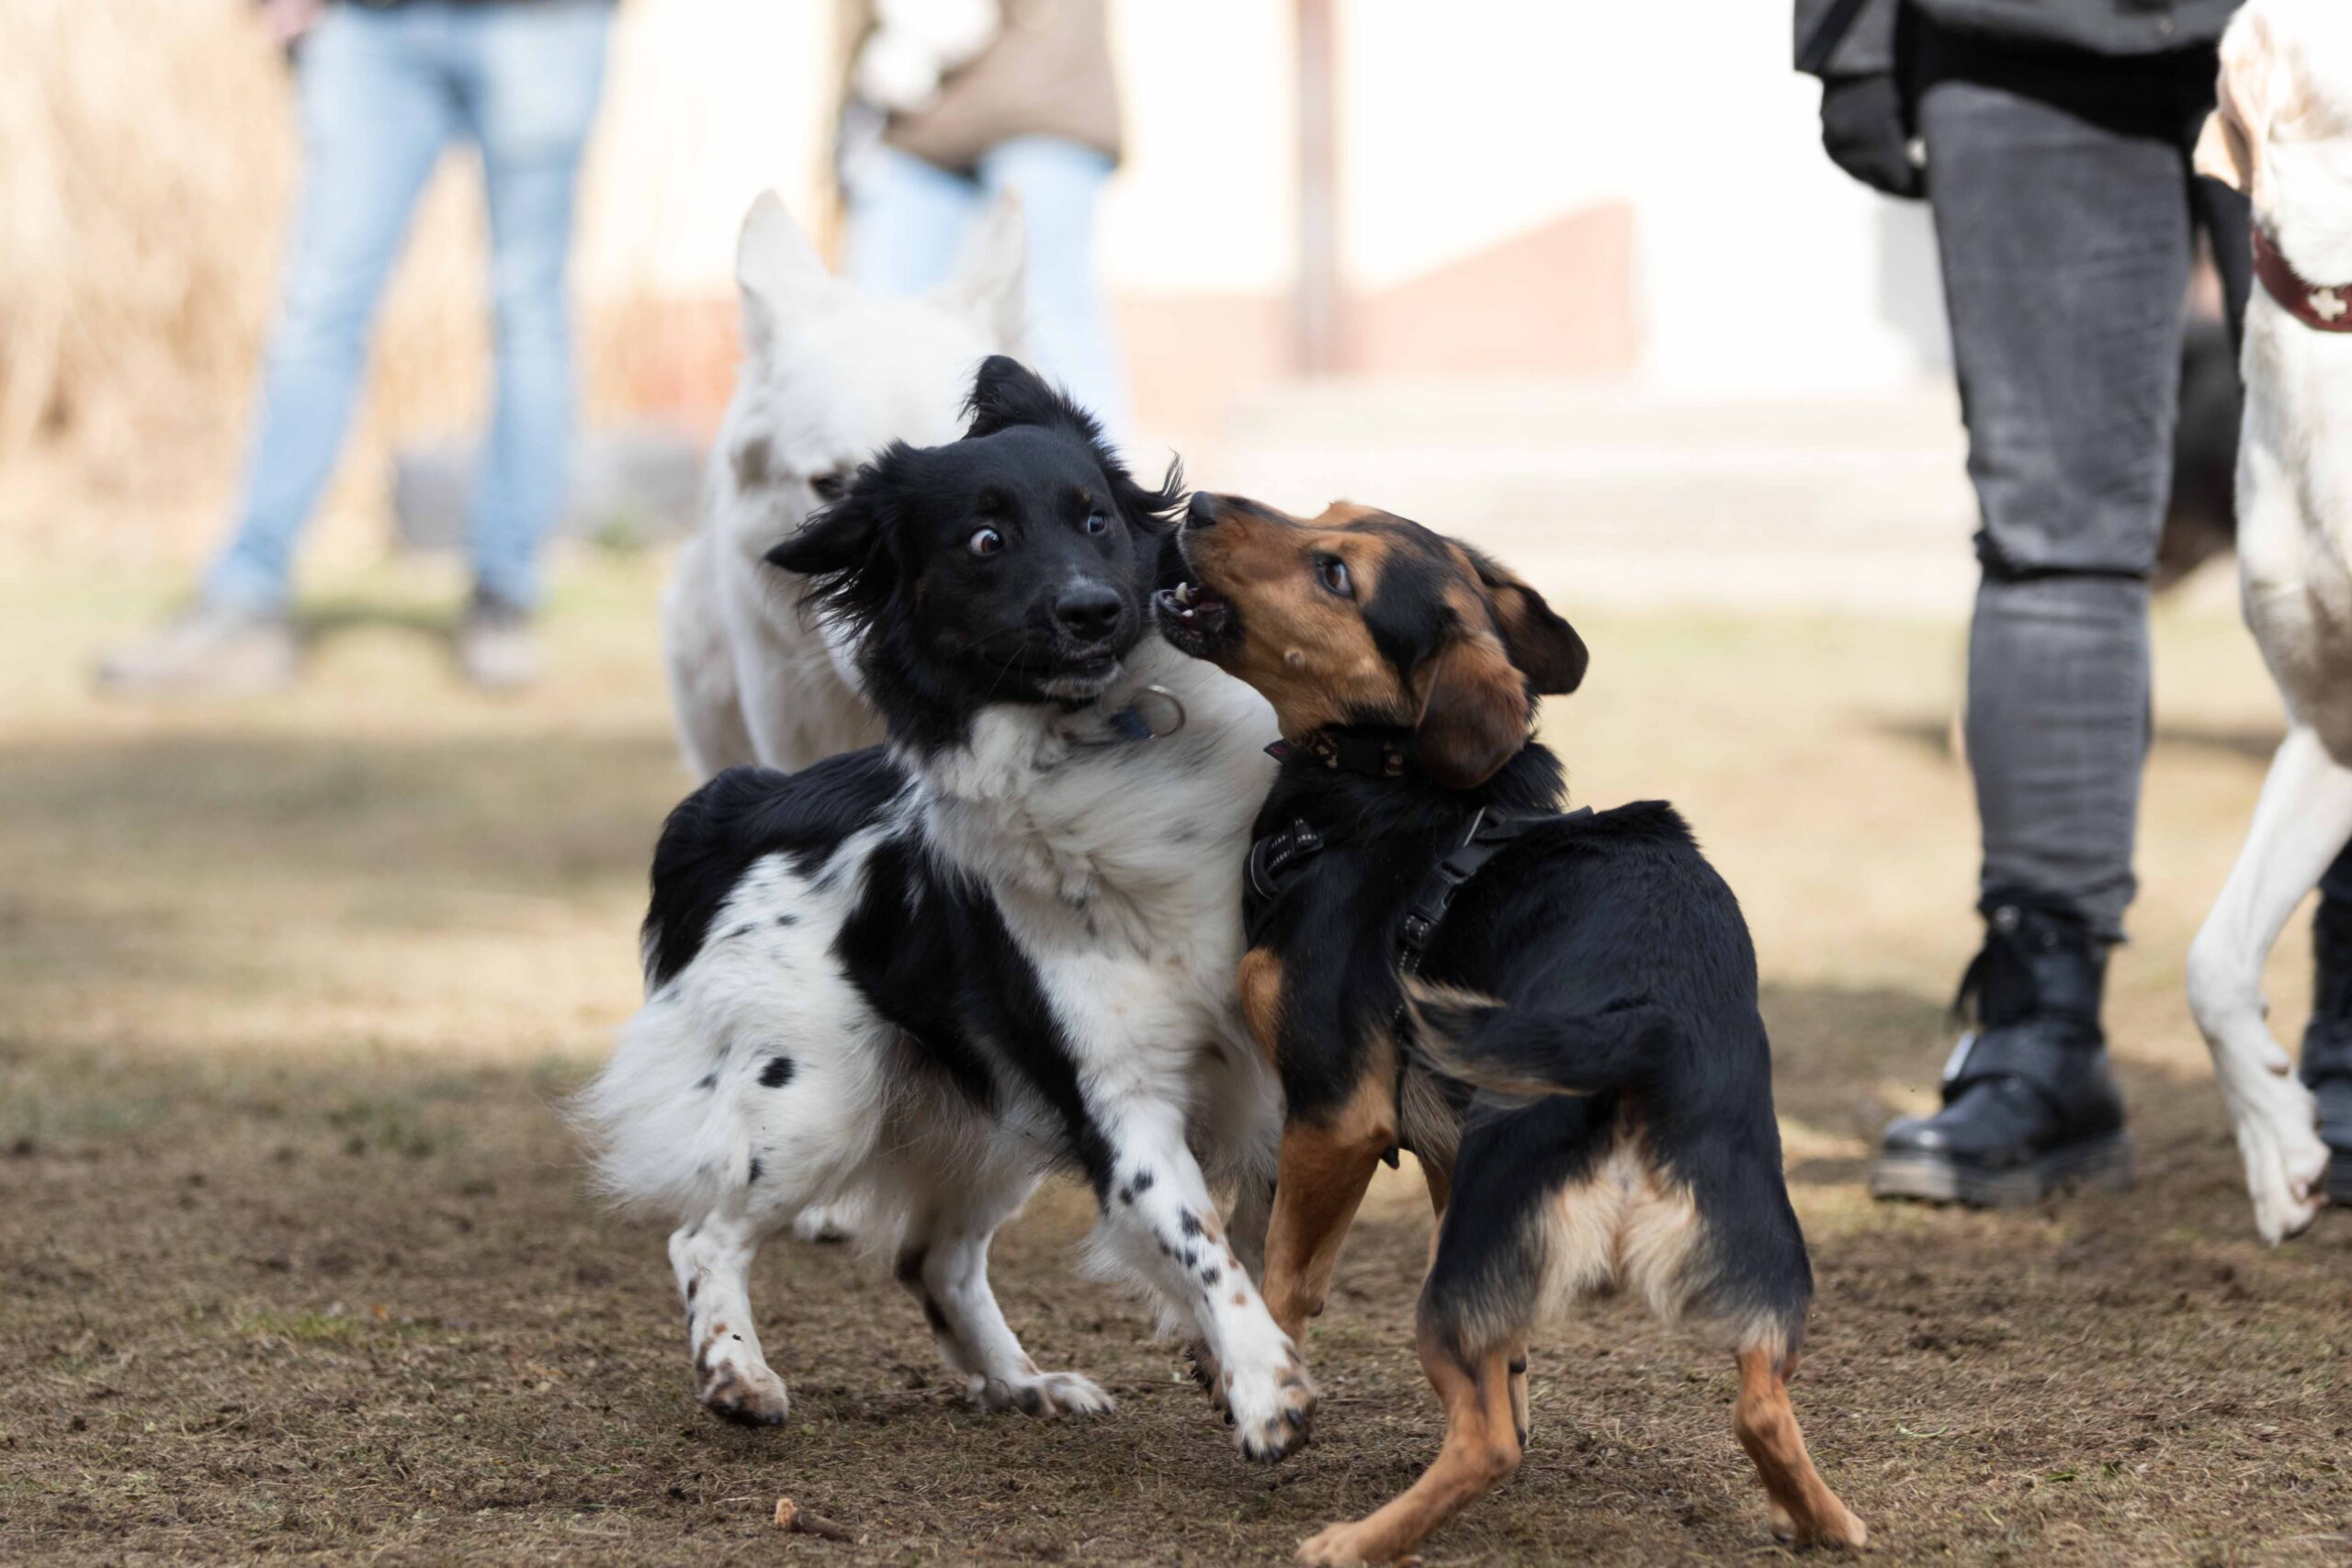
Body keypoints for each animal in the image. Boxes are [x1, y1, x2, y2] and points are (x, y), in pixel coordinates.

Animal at [569, 355, 1307, 1457]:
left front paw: (1233, 1362)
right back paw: (737, 1374)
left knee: (934, 1259)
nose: (1092, 610)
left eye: (1095, 517)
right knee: (703, 1237)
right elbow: (1198, 1242)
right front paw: (1261, 1383)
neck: (1099, 744)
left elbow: (1259, 1238)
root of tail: (743, 799)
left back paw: (1025, 1383)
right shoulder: (1119, 1099)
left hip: (979, 1109)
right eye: (985, 543)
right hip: (814, 1102)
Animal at [1148, 495, 1862, 1561]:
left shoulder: (1335, 1113)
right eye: (1328, 513)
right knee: (1760, 1408)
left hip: (1460, 1264)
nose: (1197, 504)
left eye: (1333, 572)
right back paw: (1822, 1519)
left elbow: (1281, 1268)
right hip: (1750, 1253)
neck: (1389, 788)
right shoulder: (1443, 1151)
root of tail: (1644, 1041)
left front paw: (1259, 1385)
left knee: (1486, 1442)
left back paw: (1352, 1540)